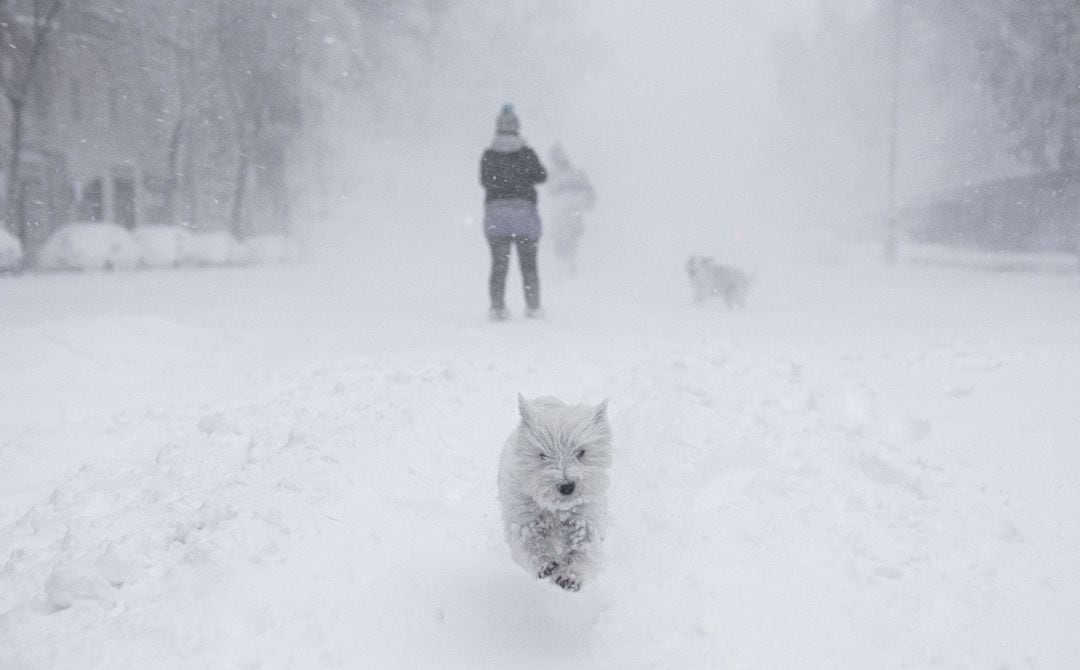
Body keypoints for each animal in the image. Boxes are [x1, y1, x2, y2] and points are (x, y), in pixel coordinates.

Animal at [494, 393, 613, 592]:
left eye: (581, 452)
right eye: (542, 455)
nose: (567, 487)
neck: (557, 511)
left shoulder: (587, 517)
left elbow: (584, 546)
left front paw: (570, 576)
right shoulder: (523, 521)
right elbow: (530, 544)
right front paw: (546, 565)